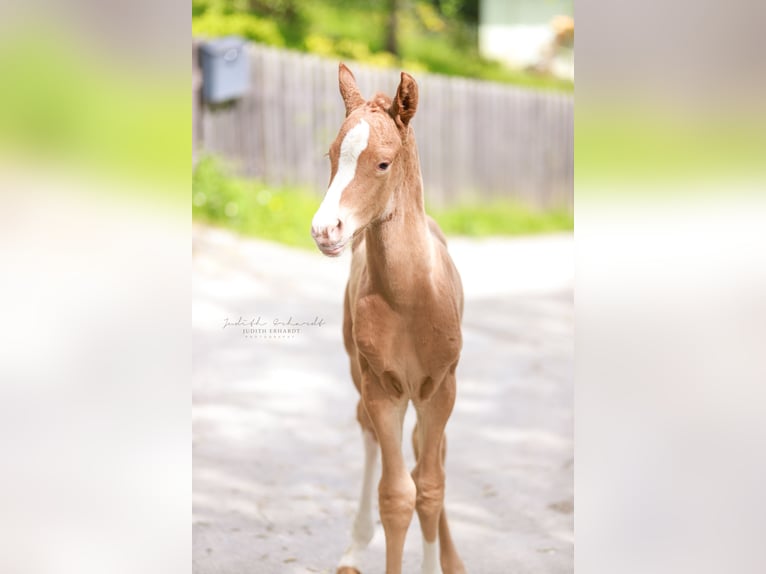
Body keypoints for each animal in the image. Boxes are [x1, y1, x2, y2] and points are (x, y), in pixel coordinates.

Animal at [312, 64, 468, 574]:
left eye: (382, 163)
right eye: (332, 155)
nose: (326, 230)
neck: (410, 300)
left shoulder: (440, 388)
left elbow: (430, 486)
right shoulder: (383, 388)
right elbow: (397, 495)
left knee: (427, 455)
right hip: (362, 376)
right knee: (370, 436)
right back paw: (354, 547)